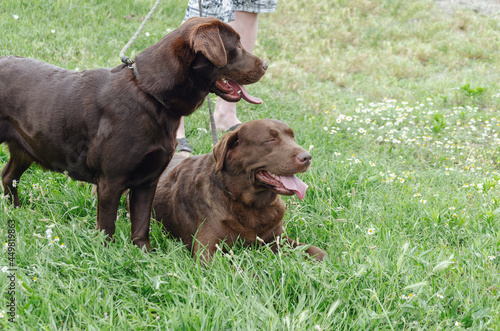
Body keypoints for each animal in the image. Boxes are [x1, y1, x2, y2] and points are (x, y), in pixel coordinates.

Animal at [0, 17, 268, 252]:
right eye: (237, 46)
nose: (266, 65)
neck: (149, 94)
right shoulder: (111, 181)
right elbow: (107, 227)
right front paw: (107, 256)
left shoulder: (148, 181)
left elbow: (141, 225)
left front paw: (144, 255)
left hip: (24, 150)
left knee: (7, 176)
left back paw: (16, 210)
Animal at [152, 119, 326, 262]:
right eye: (270, 139)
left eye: (292, 137)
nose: (307, 157)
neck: (251, 204)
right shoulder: (207, 253)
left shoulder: (277, 238)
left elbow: (315, 251)